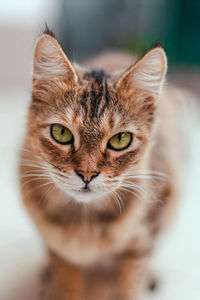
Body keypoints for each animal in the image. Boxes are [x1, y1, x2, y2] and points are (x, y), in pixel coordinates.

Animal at [19, 29, 180, 300]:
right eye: (61, 133)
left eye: (120, 139)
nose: (87, 174)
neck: (85, 221)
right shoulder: (61, 249)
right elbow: (68, 283)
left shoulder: (144, 234)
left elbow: (131, 280)